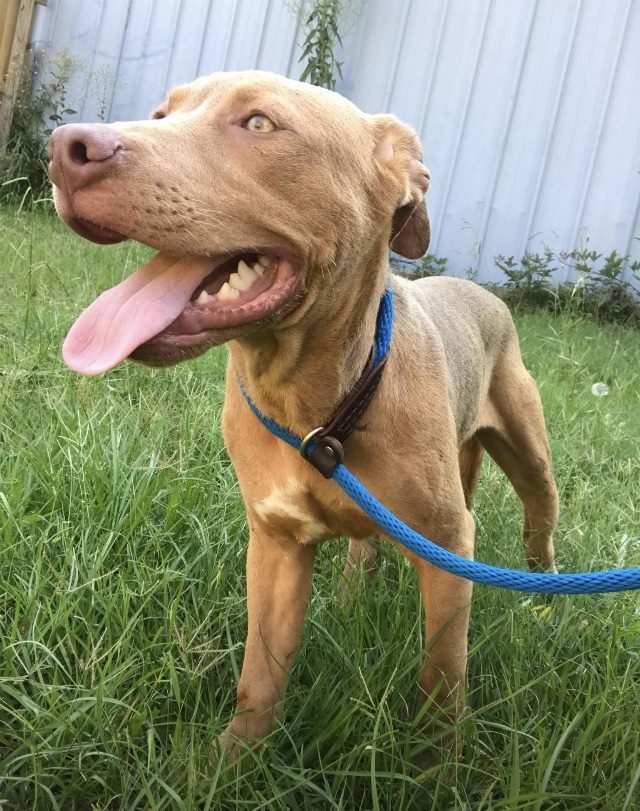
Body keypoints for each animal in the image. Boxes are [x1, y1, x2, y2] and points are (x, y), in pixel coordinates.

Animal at [50, 70, 560, 760]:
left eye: (260, 124)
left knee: (539, 521)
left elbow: (442, 678)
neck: (315, 403)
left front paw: (436, 766)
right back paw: (352, 599)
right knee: (364, 550)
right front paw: (230, 764)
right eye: (161, 113)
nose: (65, 148)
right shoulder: (276, 546)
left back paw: (548, 604)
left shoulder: (450, 548)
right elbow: (260, 677)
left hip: (529, 454)